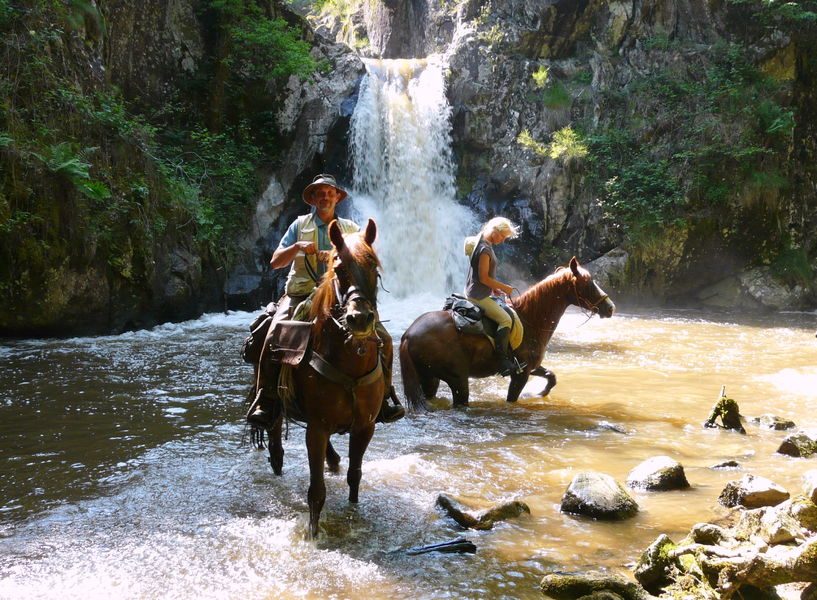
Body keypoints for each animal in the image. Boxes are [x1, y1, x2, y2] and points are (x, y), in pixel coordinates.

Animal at [258, 218, 386, 536]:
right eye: (339, 269)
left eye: (375, 268)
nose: (359, 319)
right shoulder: (315, 428)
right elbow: (316, 491)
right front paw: (313, 536)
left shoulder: (364, 426)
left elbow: (355, 475)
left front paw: (354, 513)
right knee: (274, 437)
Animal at [398, 255, 616, 410]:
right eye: (588, 283)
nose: (610, 308)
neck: (531, 320)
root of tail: (408, 335)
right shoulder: (520, 375)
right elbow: (512, 399)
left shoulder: (529, 366)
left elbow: (552, 377)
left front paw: (540, 393)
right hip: (457, 380)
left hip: (429, 378)